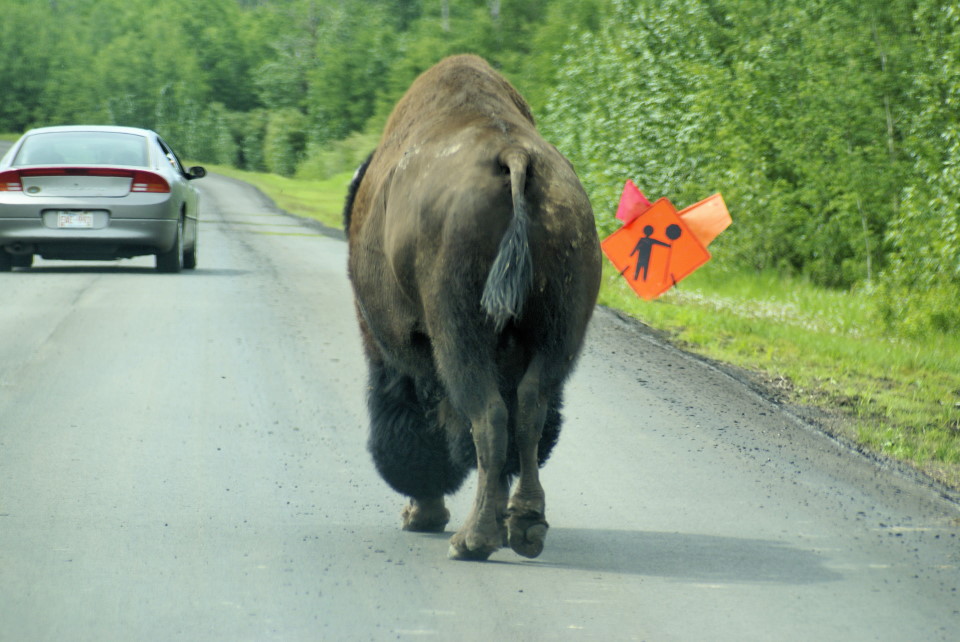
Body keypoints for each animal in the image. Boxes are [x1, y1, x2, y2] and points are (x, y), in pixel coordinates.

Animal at [344, 52, 600, 556]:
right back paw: (525, 527)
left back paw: (473, 539)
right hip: (556, 337)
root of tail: (514, 156)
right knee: (529, 413)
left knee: (488, 417)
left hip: (461, 335)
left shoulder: (395, 349)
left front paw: (424, 512)